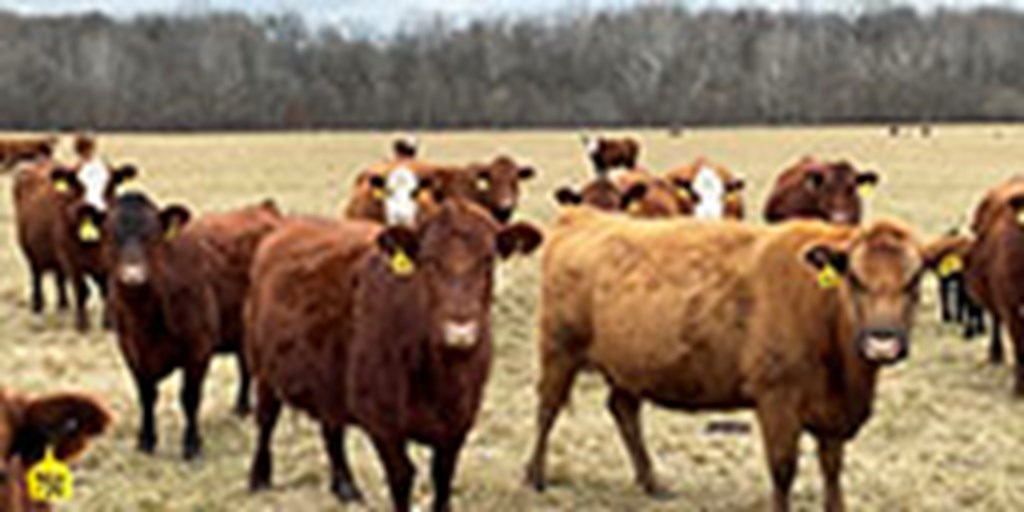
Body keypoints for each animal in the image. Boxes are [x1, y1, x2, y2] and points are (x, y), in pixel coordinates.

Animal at [13, 157, 138, 329]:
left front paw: (108, 323)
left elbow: (106, 289)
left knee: (59, 279)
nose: (94, 209)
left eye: (111, 183)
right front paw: (82, 324)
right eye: (78, 184)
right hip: (30, 251)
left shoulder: (108, 262)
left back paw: (63, 306)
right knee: (36, 276)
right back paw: (38, 309)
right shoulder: (71, 260)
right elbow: (82, 290)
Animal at [99, 192, 218, 460]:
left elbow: (190, 397)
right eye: (110, 235)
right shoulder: (130, 350)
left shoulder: (199, 349)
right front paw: (146, 439)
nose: (133, 275)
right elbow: (146, 394)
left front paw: (192, 444)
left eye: (152, 235)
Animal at [246, 199, 544, 512]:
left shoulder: (458, 424)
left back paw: (346, 487)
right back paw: (259, 477)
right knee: (266, 420)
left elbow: (442, 478)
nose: (459, 330)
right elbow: (402, 477)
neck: (442, 375)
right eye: (427, 260)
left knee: (332, 429)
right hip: (263, 370)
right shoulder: (383, 425)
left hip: (328, 379)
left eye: (489, 259)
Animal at [528, 209, 950, 509]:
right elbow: (783, 469)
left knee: (624, 411)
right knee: (547, 408)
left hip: (628, 365)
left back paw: (652, 482)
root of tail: (583, 216)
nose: (882, 344)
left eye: (914, 280)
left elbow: (832, 472)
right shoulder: (777, 400)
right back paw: (535, 475)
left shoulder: (833, 414)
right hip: (559, 351)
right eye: (855, 279)